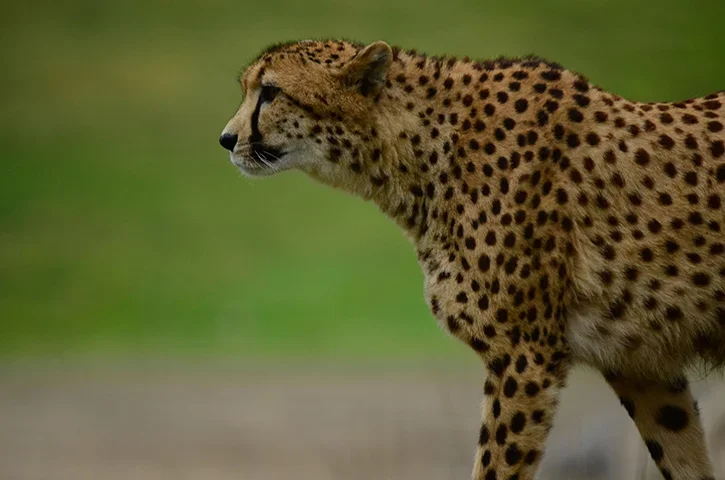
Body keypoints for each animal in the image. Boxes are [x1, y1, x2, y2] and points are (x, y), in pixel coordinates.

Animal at [219, 38, 725, 480]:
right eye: (249, 88)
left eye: (271, 92)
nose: (226, 138)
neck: (423, 154)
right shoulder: (641, 364)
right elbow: (683, 457)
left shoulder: (525, 355)